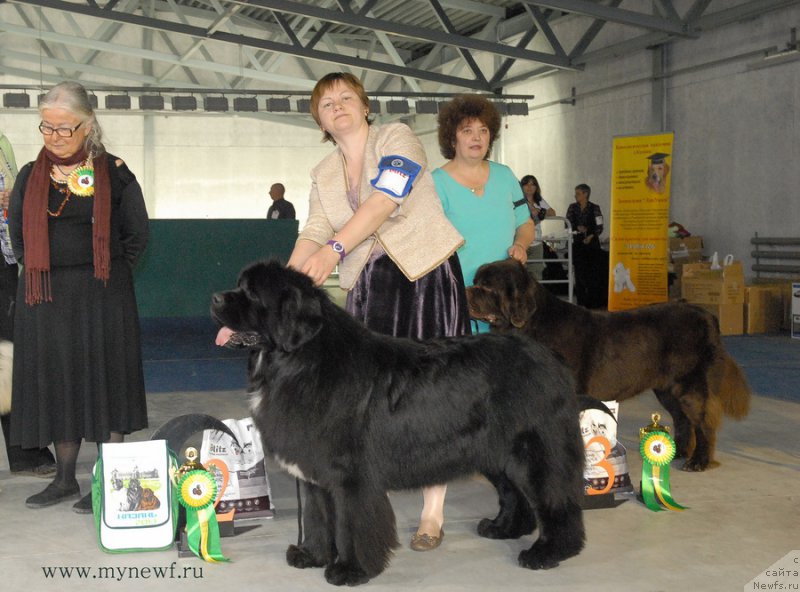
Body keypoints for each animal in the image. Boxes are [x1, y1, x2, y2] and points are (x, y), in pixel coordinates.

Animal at [211, 260, 588, 588]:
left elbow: (349, 524)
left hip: (534, 451)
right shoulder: (314, 472)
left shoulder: (350, 476)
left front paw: (350, 570)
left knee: (556, 500)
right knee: (515, 494)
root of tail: (550, 357)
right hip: (493, 451)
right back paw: (504, 528)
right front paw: (311, 556)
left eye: (252, 293)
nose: (215, 298)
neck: (301, 361)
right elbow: (316, 518)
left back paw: (549, 552)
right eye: (239, 285)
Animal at [466, 260, 752, 472]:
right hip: (666, 388)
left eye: (487, 287)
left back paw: (698, 461)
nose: (466, 291)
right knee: (682, 418)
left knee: (703, 420)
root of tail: (708, 316)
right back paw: (679, 452)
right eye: (476, 281)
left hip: (690, 385)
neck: (531, 325)